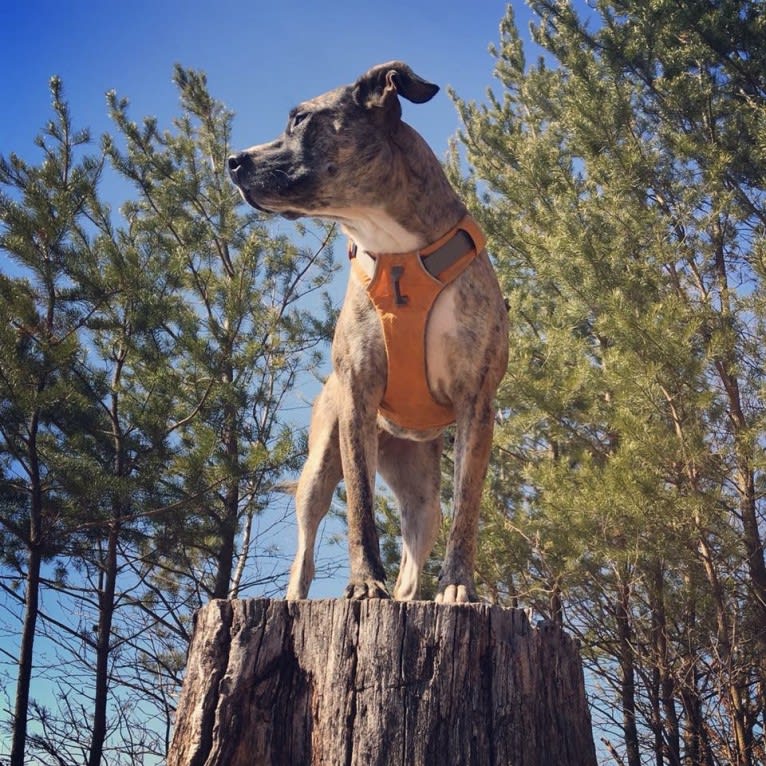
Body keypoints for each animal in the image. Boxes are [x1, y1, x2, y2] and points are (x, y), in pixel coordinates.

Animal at [230, 61, 510, 608]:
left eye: (300, 120)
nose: (233, 160)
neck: (397, 249)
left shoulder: (477, 400)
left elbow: (467, 506)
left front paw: (458, 584)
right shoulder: (357, 394)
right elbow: (360, 502)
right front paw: (363, 582)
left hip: (422, 492)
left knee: (414, 556)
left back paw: (407, 597)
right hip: (319, 465)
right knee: (304, 553)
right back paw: (298, 596)